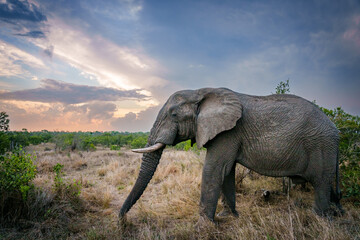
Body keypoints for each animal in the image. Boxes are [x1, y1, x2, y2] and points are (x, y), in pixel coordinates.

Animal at [119, 86, 344, 221]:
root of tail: (337, 130)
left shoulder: (229, 132)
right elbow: (226, 172)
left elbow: (214, 169)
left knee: (321, 183)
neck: (200, 91)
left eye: (173, 115)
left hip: (321, 145)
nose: (121, 219)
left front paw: (204, 225)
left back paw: (319, 219)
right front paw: (228, 216)